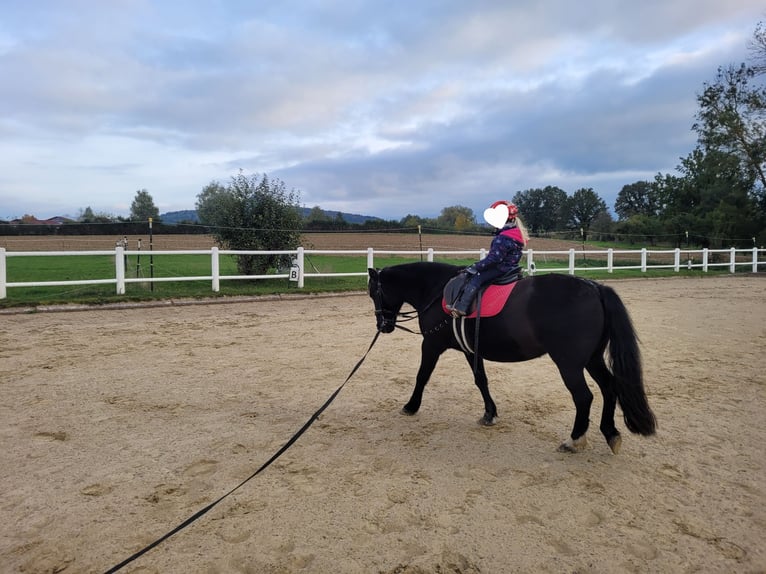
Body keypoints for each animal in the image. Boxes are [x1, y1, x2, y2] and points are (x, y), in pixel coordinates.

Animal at [368, 260, 656, 454]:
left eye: (374, 292)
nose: (383, 325)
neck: (437, 290)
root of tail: (594, 288)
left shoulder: (431, 345)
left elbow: (422, 376)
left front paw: (410, 406)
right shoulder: (471, 350)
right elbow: (481, 380)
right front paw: (489, 414)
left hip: (570, 364)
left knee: (584, 397)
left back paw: (574, 439)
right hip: (592, 359)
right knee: (609, 388)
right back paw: (610, 433)